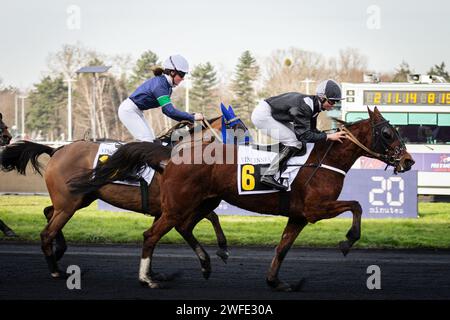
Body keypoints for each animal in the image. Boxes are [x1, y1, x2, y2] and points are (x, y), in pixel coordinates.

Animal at [0, 107, 248, 278]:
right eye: (240, 132)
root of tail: (56, 150)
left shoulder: (169, 208)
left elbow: (208, 218)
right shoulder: (177, 205)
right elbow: (210, 216)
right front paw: (222, 250)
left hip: (79, 199)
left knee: (48, 212)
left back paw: (58, 250)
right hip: (70, 202)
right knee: (47, 231)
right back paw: (56, 269)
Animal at [71, 107, 414, 290]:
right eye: (388, 133)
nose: (409, 161)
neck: (323, 159)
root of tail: (173, 156)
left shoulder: (299, 215)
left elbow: (283, 248)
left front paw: (276, 282)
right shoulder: (316, 209)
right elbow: (356, 206)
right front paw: (348, 240)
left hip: (201, 202)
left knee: (183, 228)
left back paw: (206, 263)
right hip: (179, 205)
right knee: (151, 234)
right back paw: (148, 279)